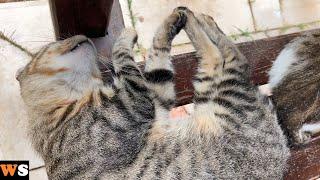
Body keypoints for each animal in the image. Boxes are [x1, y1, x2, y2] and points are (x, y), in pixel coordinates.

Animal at [16, 7, 288, 180]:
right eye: (53, 45)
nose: (83, 35)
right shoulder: (130, 104)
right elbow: (124, 59)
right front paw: (125, 36)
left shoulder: (154, 102)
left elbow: (157, 66)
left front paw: (162, 30)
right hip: (227, 95)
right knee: (230, 58)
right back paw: (196, 20)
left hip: (213, 94)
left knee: (223, 57)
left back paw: (196, 18)